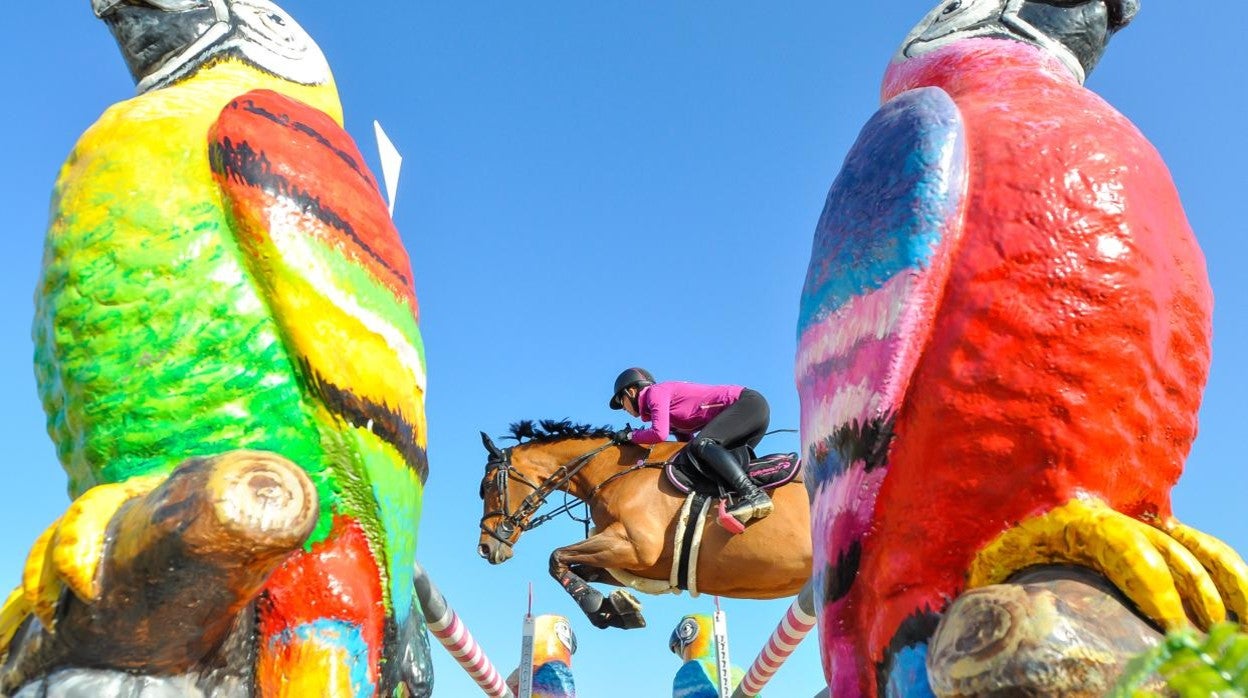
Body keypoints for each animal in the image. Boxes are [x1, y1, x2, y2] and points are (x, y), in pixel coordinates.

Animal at [474, 419, 808, 634]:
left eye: (487, 486)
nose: (485, 547)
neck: (614, 471)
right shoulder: (640, 563)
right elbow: (579, 568)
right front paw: (616, 609)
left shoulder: (635, 547)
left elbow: (555, 558)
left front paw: (598, 606)